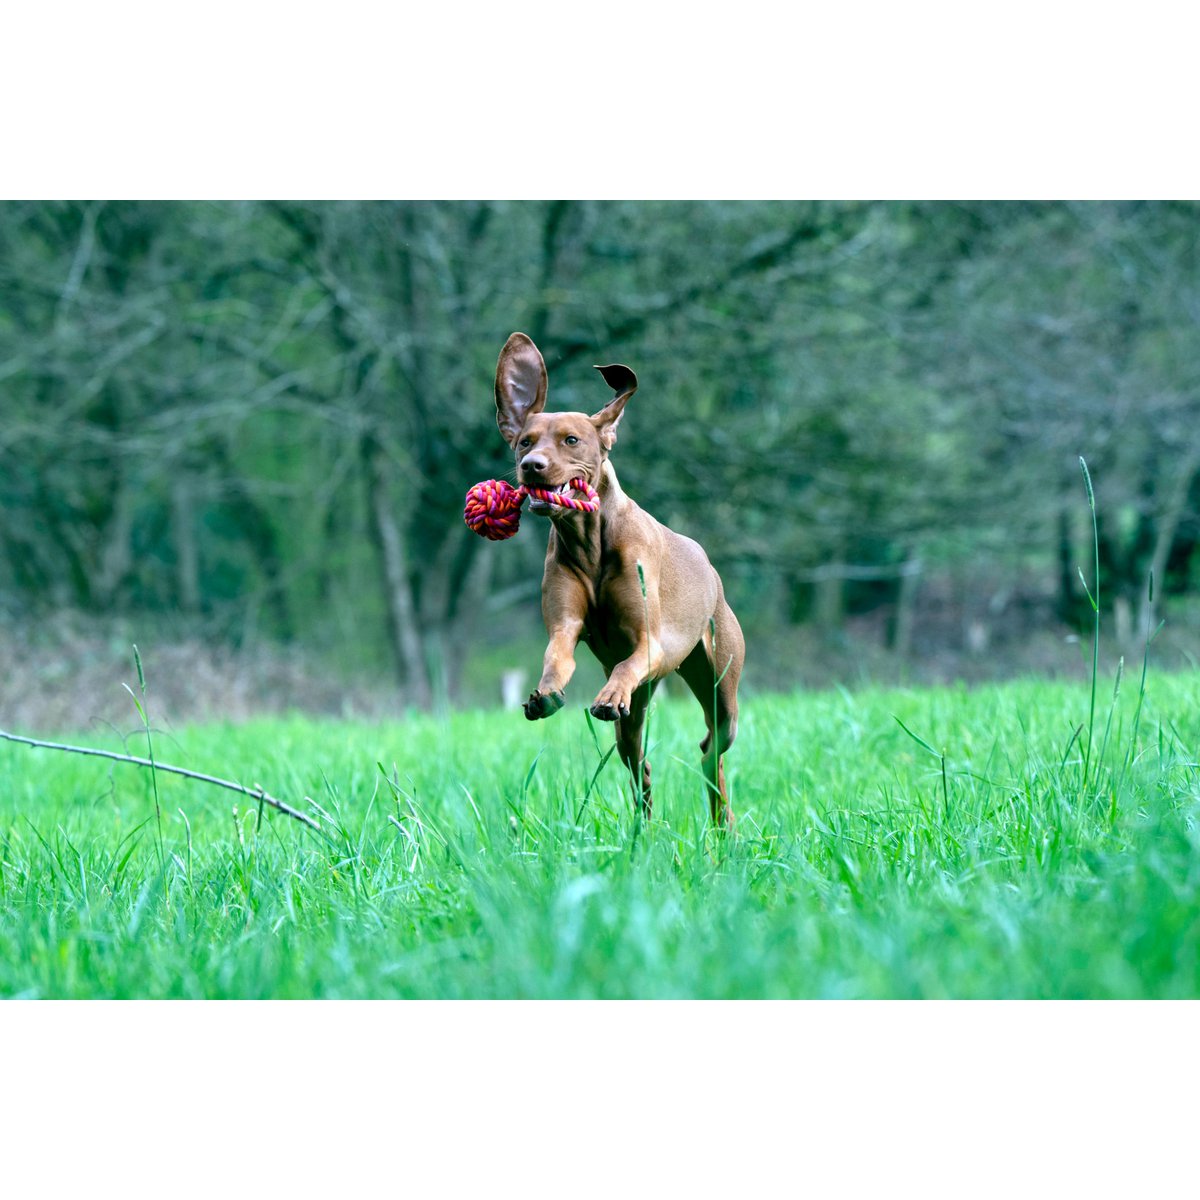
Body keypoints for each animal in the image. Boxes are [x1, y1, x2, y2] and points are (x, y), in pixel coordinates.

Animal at [494, 333, 739, 830]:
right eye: (525, 441)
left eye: (571, 440)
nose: (531, 465)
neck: (590, 543)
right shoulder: (565, 625)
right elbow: (556, 655)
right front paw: (546, 694)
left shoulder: (649, 644)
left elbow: (628, 664)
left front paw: (605, 695)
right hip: (639, 715)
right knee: (640, 763)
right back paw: (645, 829)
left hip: (721, 687)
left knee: (713, 749)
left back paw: (722, 824)